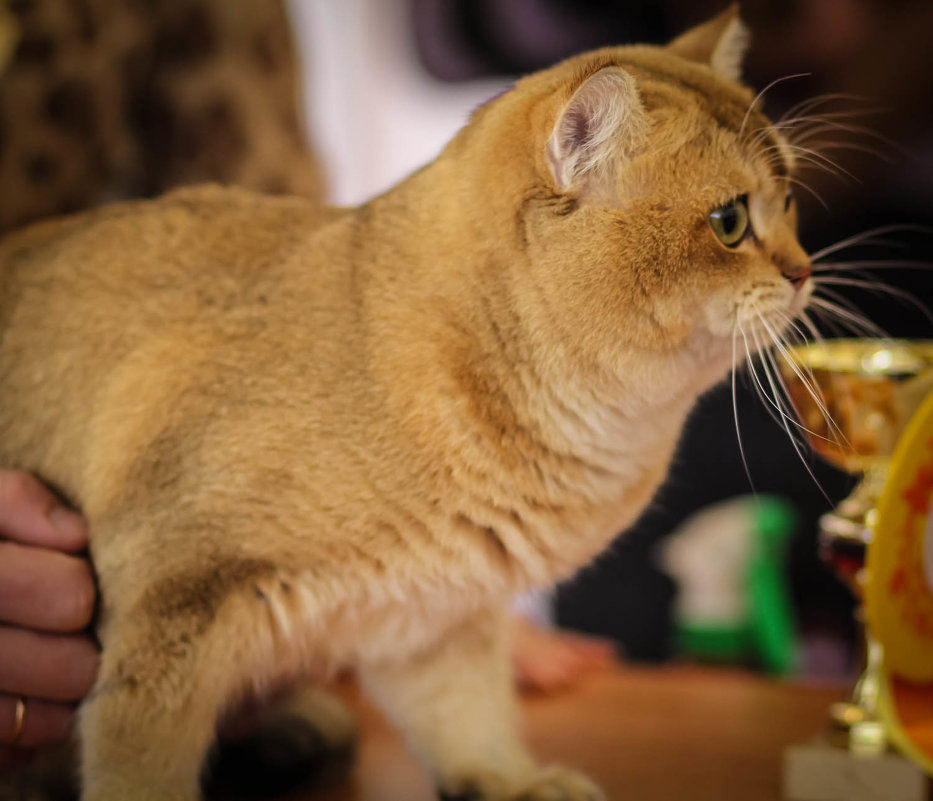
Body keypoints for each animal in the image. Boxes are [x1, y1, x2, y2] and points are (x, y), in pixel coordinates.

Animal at [0, 7, 808, 800]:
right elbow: (139, 764)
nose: (804, 272)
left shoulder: (434, 616)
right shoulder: (172, 606)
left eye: (791, 200)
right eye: (730, 222)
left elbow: (469, 719)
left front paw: (514, 782)